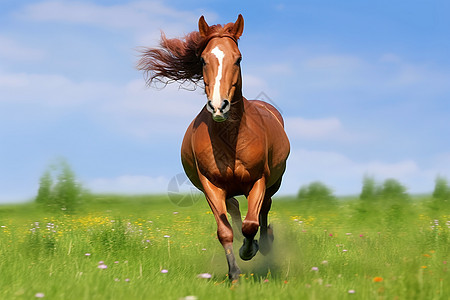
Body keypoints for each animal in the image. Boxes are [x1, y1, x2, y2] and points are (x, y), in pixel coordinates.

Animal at [139, 14, 290, 282]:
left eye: (238, 58)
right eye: (202, 59)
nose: (219, 106)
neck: (231, 140)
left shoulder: (258, 180)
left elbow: (252, 223)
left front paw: (250, 249)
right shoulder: (211, 184)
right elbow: (225, 231)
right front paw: (235, 273)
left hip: (274, 182)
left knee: (264, 209)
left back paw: (265, 242)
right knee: (235, 209)